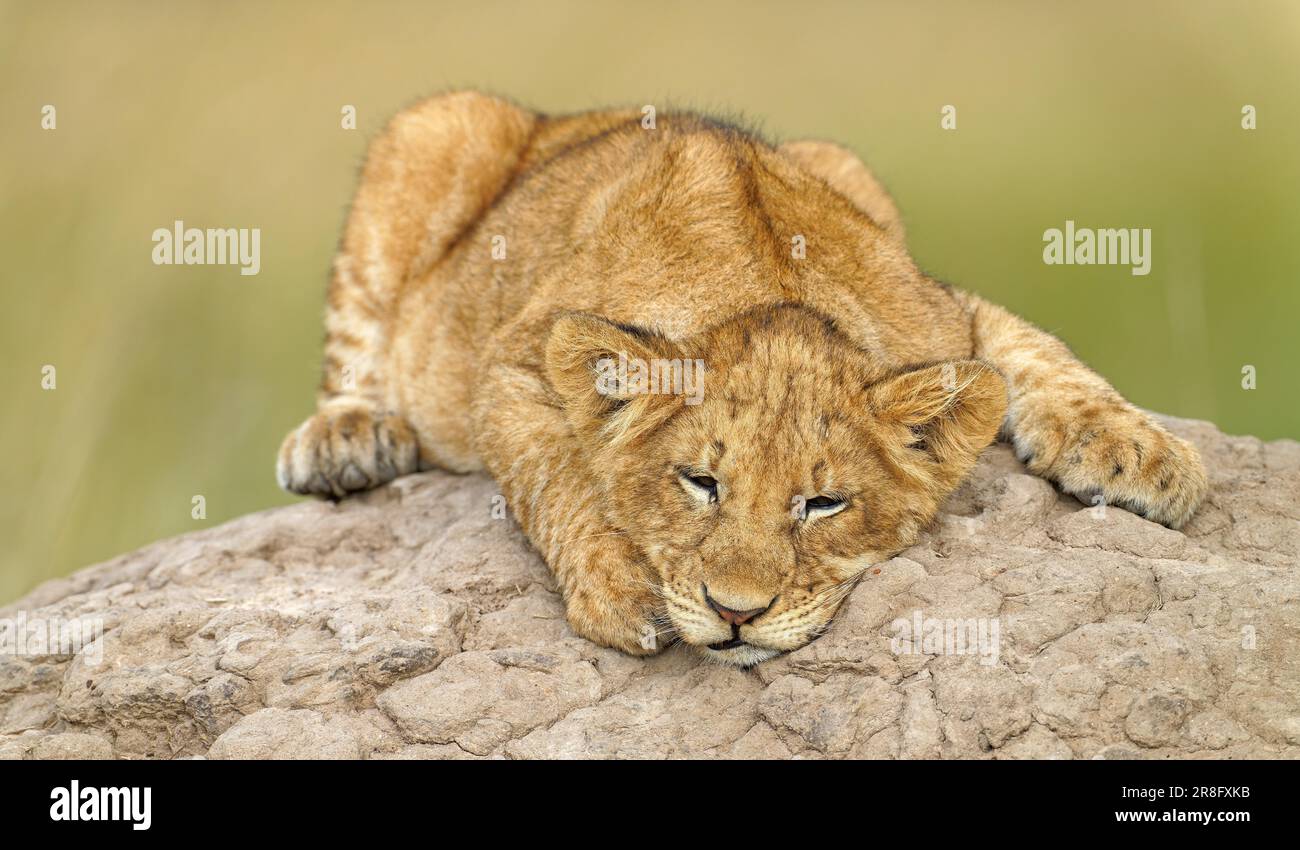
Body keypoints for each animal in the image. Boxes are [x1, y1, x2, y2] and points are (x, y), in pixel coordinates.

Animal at [276, 91, 1207, 667]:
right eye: (701, 484)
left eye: (822, 504)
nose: (735, 614)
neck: (770, 287)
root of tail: (564, 118)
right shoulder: (516, 360)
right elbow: (559, 474)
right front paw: (627, 587)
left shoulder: (944, 312)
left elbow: (1037, 350)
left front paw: (1144, 455)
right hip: (433, 128)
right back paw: (346, 440)